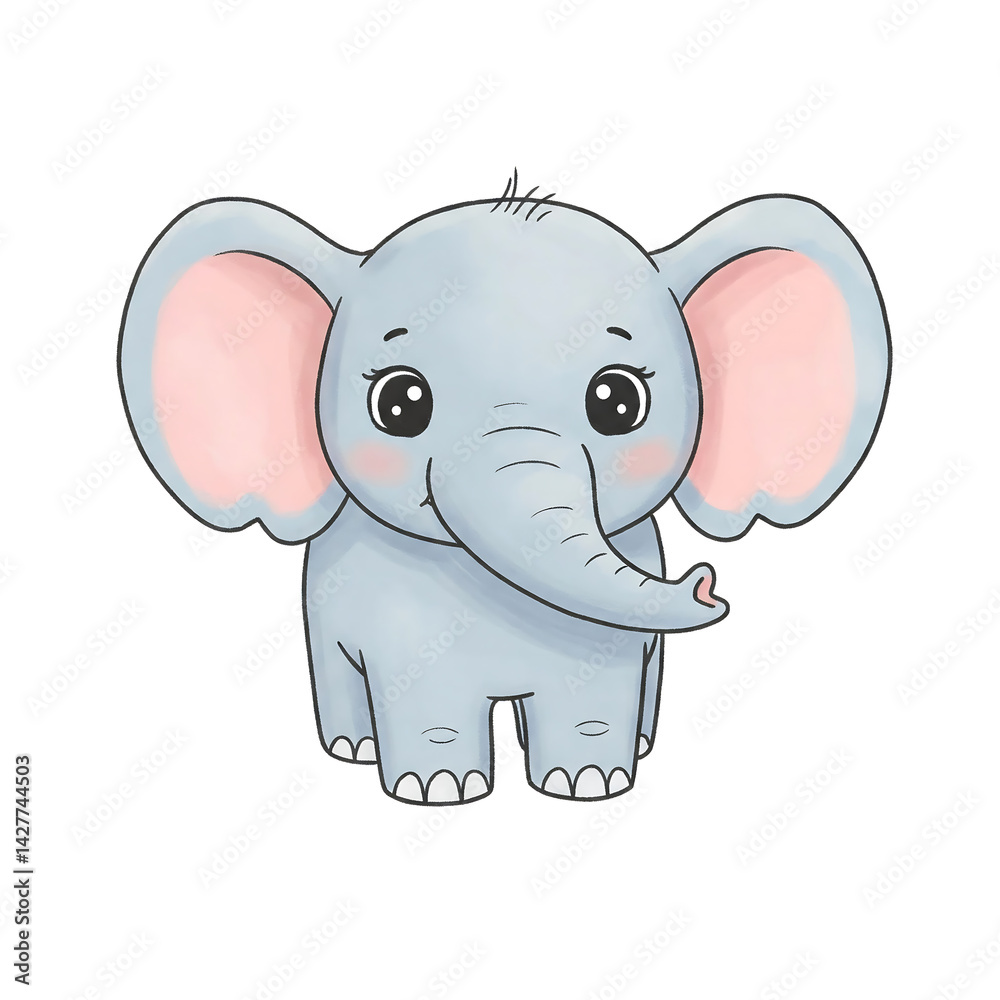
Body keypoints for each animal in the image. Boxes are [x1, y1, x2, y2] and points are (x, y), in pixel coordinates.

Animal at [118, 179, 889, 805]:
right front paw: (439, 790)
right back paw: (354, 749)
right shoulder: (398, 618)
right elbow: (421, 690)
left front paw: (589, 784)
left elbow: (597, 691)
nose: (706, 583)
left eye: (619, 401)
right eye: (399, 404)